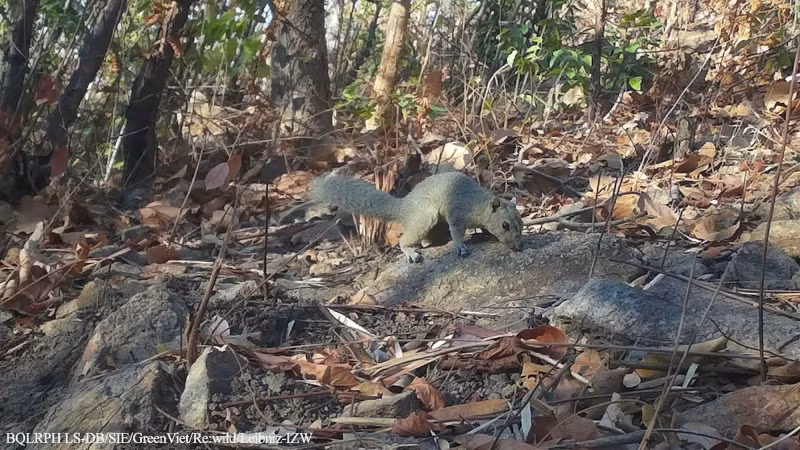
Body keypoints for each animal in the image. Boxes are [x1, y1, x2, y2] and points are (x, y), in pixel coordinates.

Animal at [309, 171, 523, 263]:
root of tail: (403, 207)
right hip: (425, 217)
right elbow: (456, 232)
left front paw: (483, 233)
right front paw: (460, 246)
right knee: (404, 240)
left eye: (521, 224)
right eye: (505, 225)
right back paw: (410, 251)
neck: (478, 204)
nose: (519, 247)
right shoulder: (457, 213)